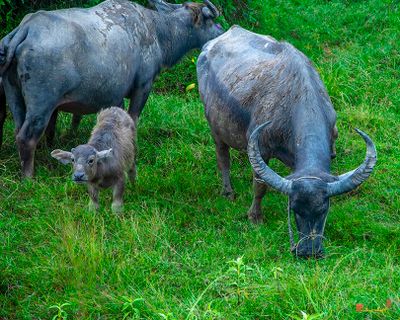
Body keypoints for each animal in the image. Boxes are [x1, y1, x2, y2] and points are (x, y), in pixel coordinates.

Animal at [0, 0, 222, 178]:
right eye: (210, 20)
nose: (221, 32)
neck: (156, 31)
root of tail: (26, 27)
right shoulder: (143, 86)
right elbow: (133, 119)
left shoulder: (113, 98)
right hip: (41, 104)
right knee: (26, 137)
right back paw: (29, 177)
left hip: (15, 96)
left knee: (19, 130)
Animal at [198, 26, 376, 258]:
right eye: (295, 209)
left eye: (323, 210)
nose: (309, 251)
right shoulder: (261, 150)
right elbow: (259, 186)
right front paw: (255, 217)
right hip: (216, 129)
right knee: (223, 158)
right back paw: (228, 192)